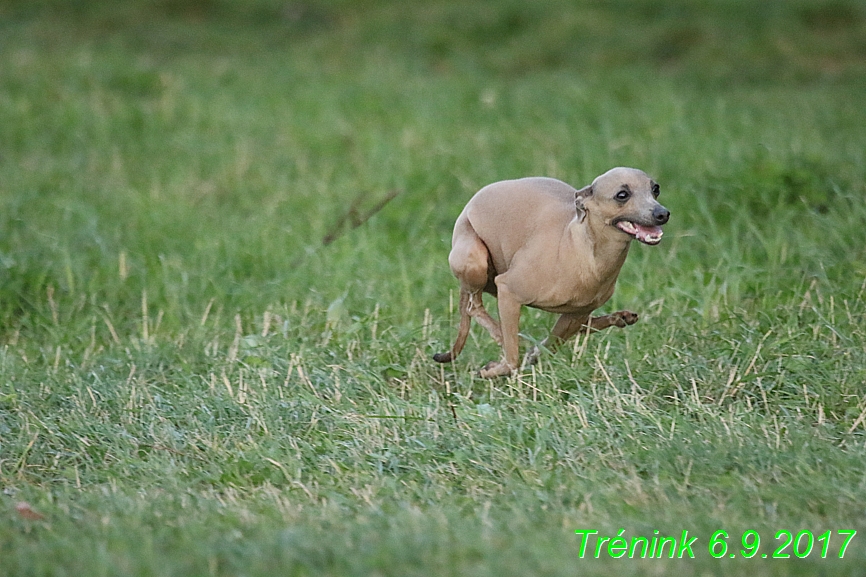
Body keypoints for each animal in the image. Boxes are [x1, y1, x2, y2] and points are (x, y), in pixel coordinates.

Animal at [432, 165, 668, 378]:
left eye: (655, 189)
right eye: (622, 194)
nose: (663, 213)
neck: (583, 251)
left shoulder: (575, 314)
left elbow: (550, 344)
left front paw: (530, 355)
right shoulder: (508, 290)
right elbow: (513, 358)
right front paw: (496, 368)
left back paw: (619, 318)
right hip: (475, 261)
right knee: (474, 306)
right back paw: (501, 336)